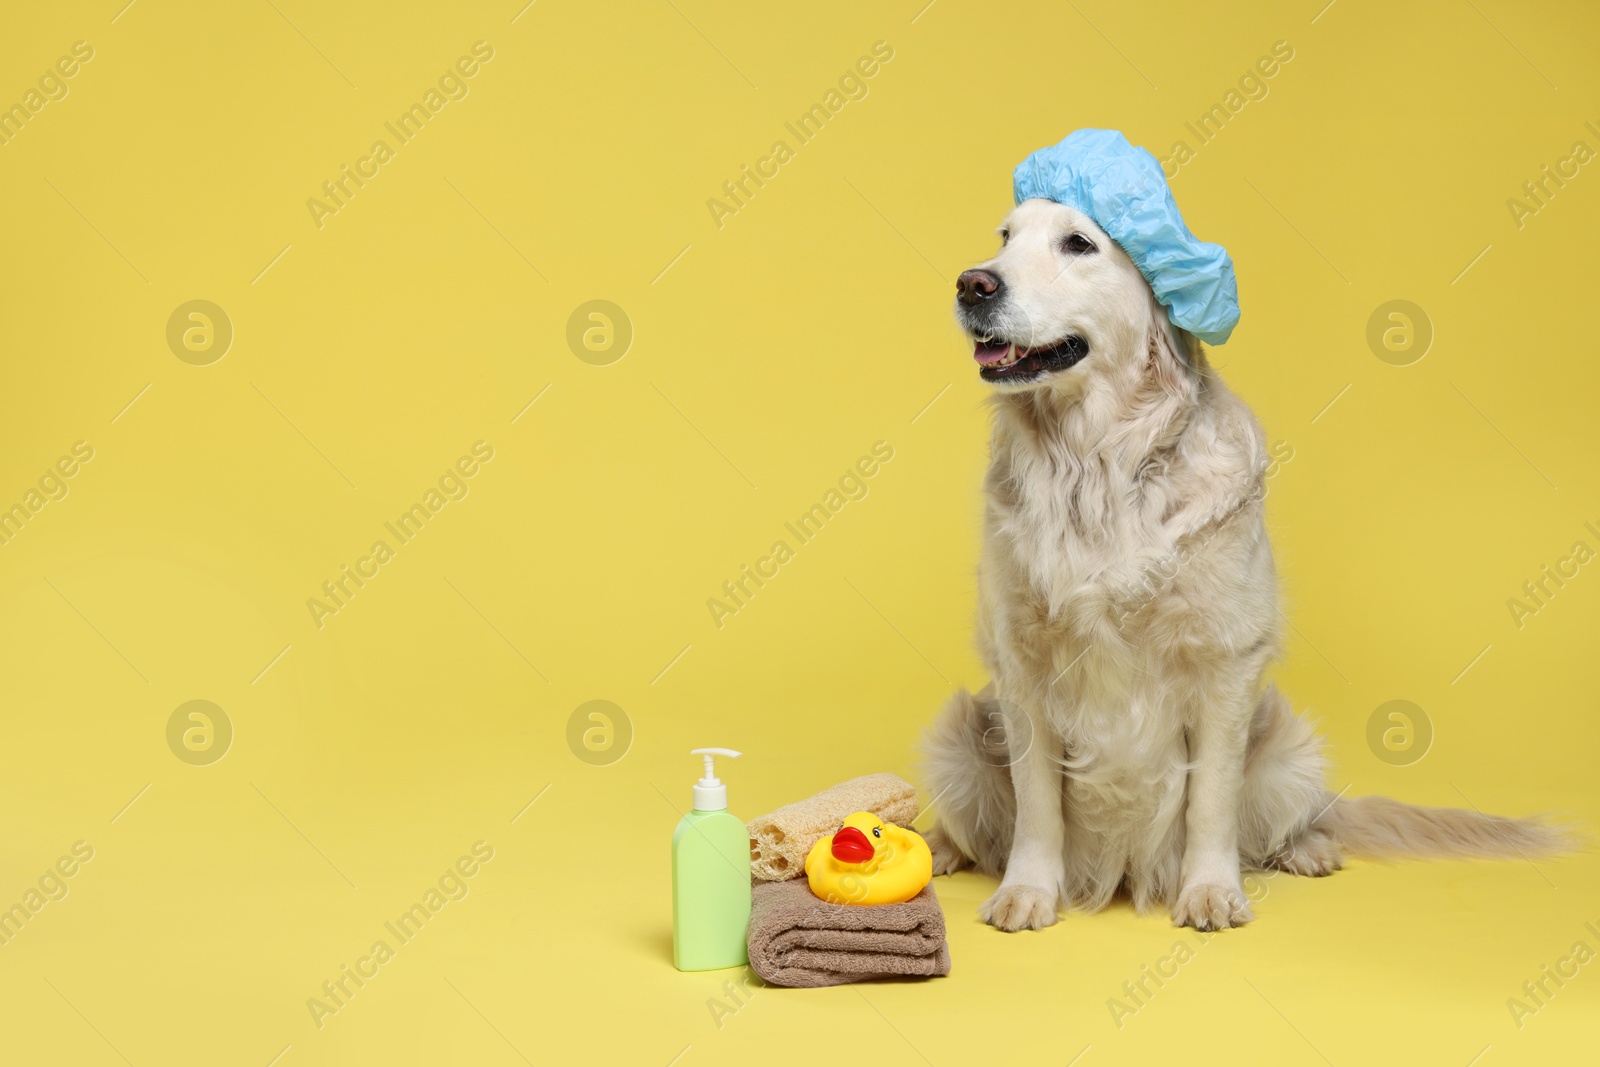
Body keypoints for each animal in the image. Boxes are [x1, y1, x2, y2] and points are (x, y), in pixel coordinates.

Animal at [921, 195, 1568, 927]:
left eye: (1078, 244)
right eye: (1005, 237)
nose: (972, 284)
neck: (1099, 464)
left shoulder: (1225, 661)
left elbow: (1211, 800)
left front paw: (1209, 890)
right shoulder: (1021, 660)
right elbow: (1037, 806)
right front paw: (1027, 891)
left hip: (1289, 747)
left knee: (1288, 821)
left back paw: (1308, 848)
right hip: (959, 735)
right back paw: (937, 845)